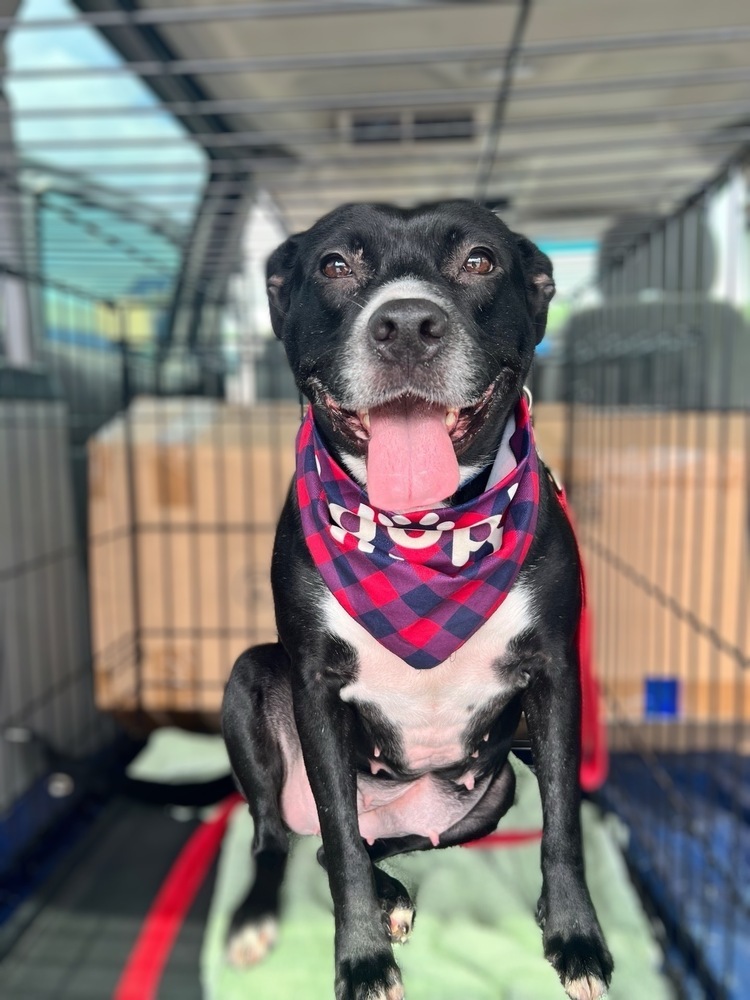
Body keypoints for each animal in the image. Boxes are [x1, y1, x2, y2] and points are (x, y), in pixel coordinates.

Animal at [220, 203, 612, 1000]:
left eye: (480, 260)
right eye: (335, 264)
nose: (405, 325)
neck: (422, 534)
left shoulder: (555, 677)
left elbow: (564, 824)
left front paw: (574, 935)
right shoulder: (314, 687)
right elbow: (340, 843)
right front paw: (363, 960)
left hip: (490, 794)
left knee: (355, 842)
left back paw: (393, 889)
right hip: (248, 683)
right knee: (294, 836)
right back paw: (270, 912)